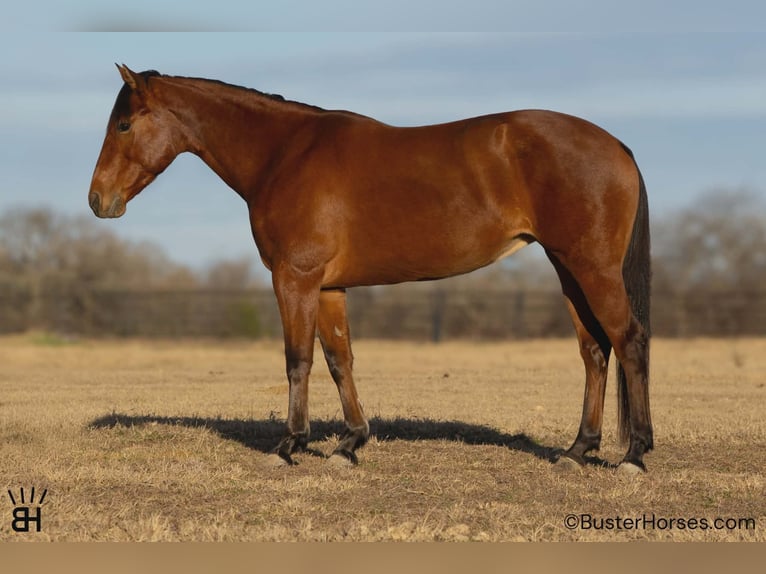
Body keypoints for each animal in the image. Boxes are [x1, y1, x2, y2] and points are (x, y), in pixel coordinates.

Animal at [89, 65, 652, 474]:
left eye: (124, 124)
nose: (98, 201)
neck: (283, 155)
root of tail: (618, 146)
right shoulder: (329, 286)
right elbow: (340, 359)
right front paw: (349, 444)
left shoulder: (294, 278)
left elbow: (298, 360)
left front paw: (289, 445)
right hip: (569, 270)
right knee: (594, 351)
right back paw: (578, 450)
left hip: (593, 268)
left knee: (628, 341)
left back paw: (634, 455)